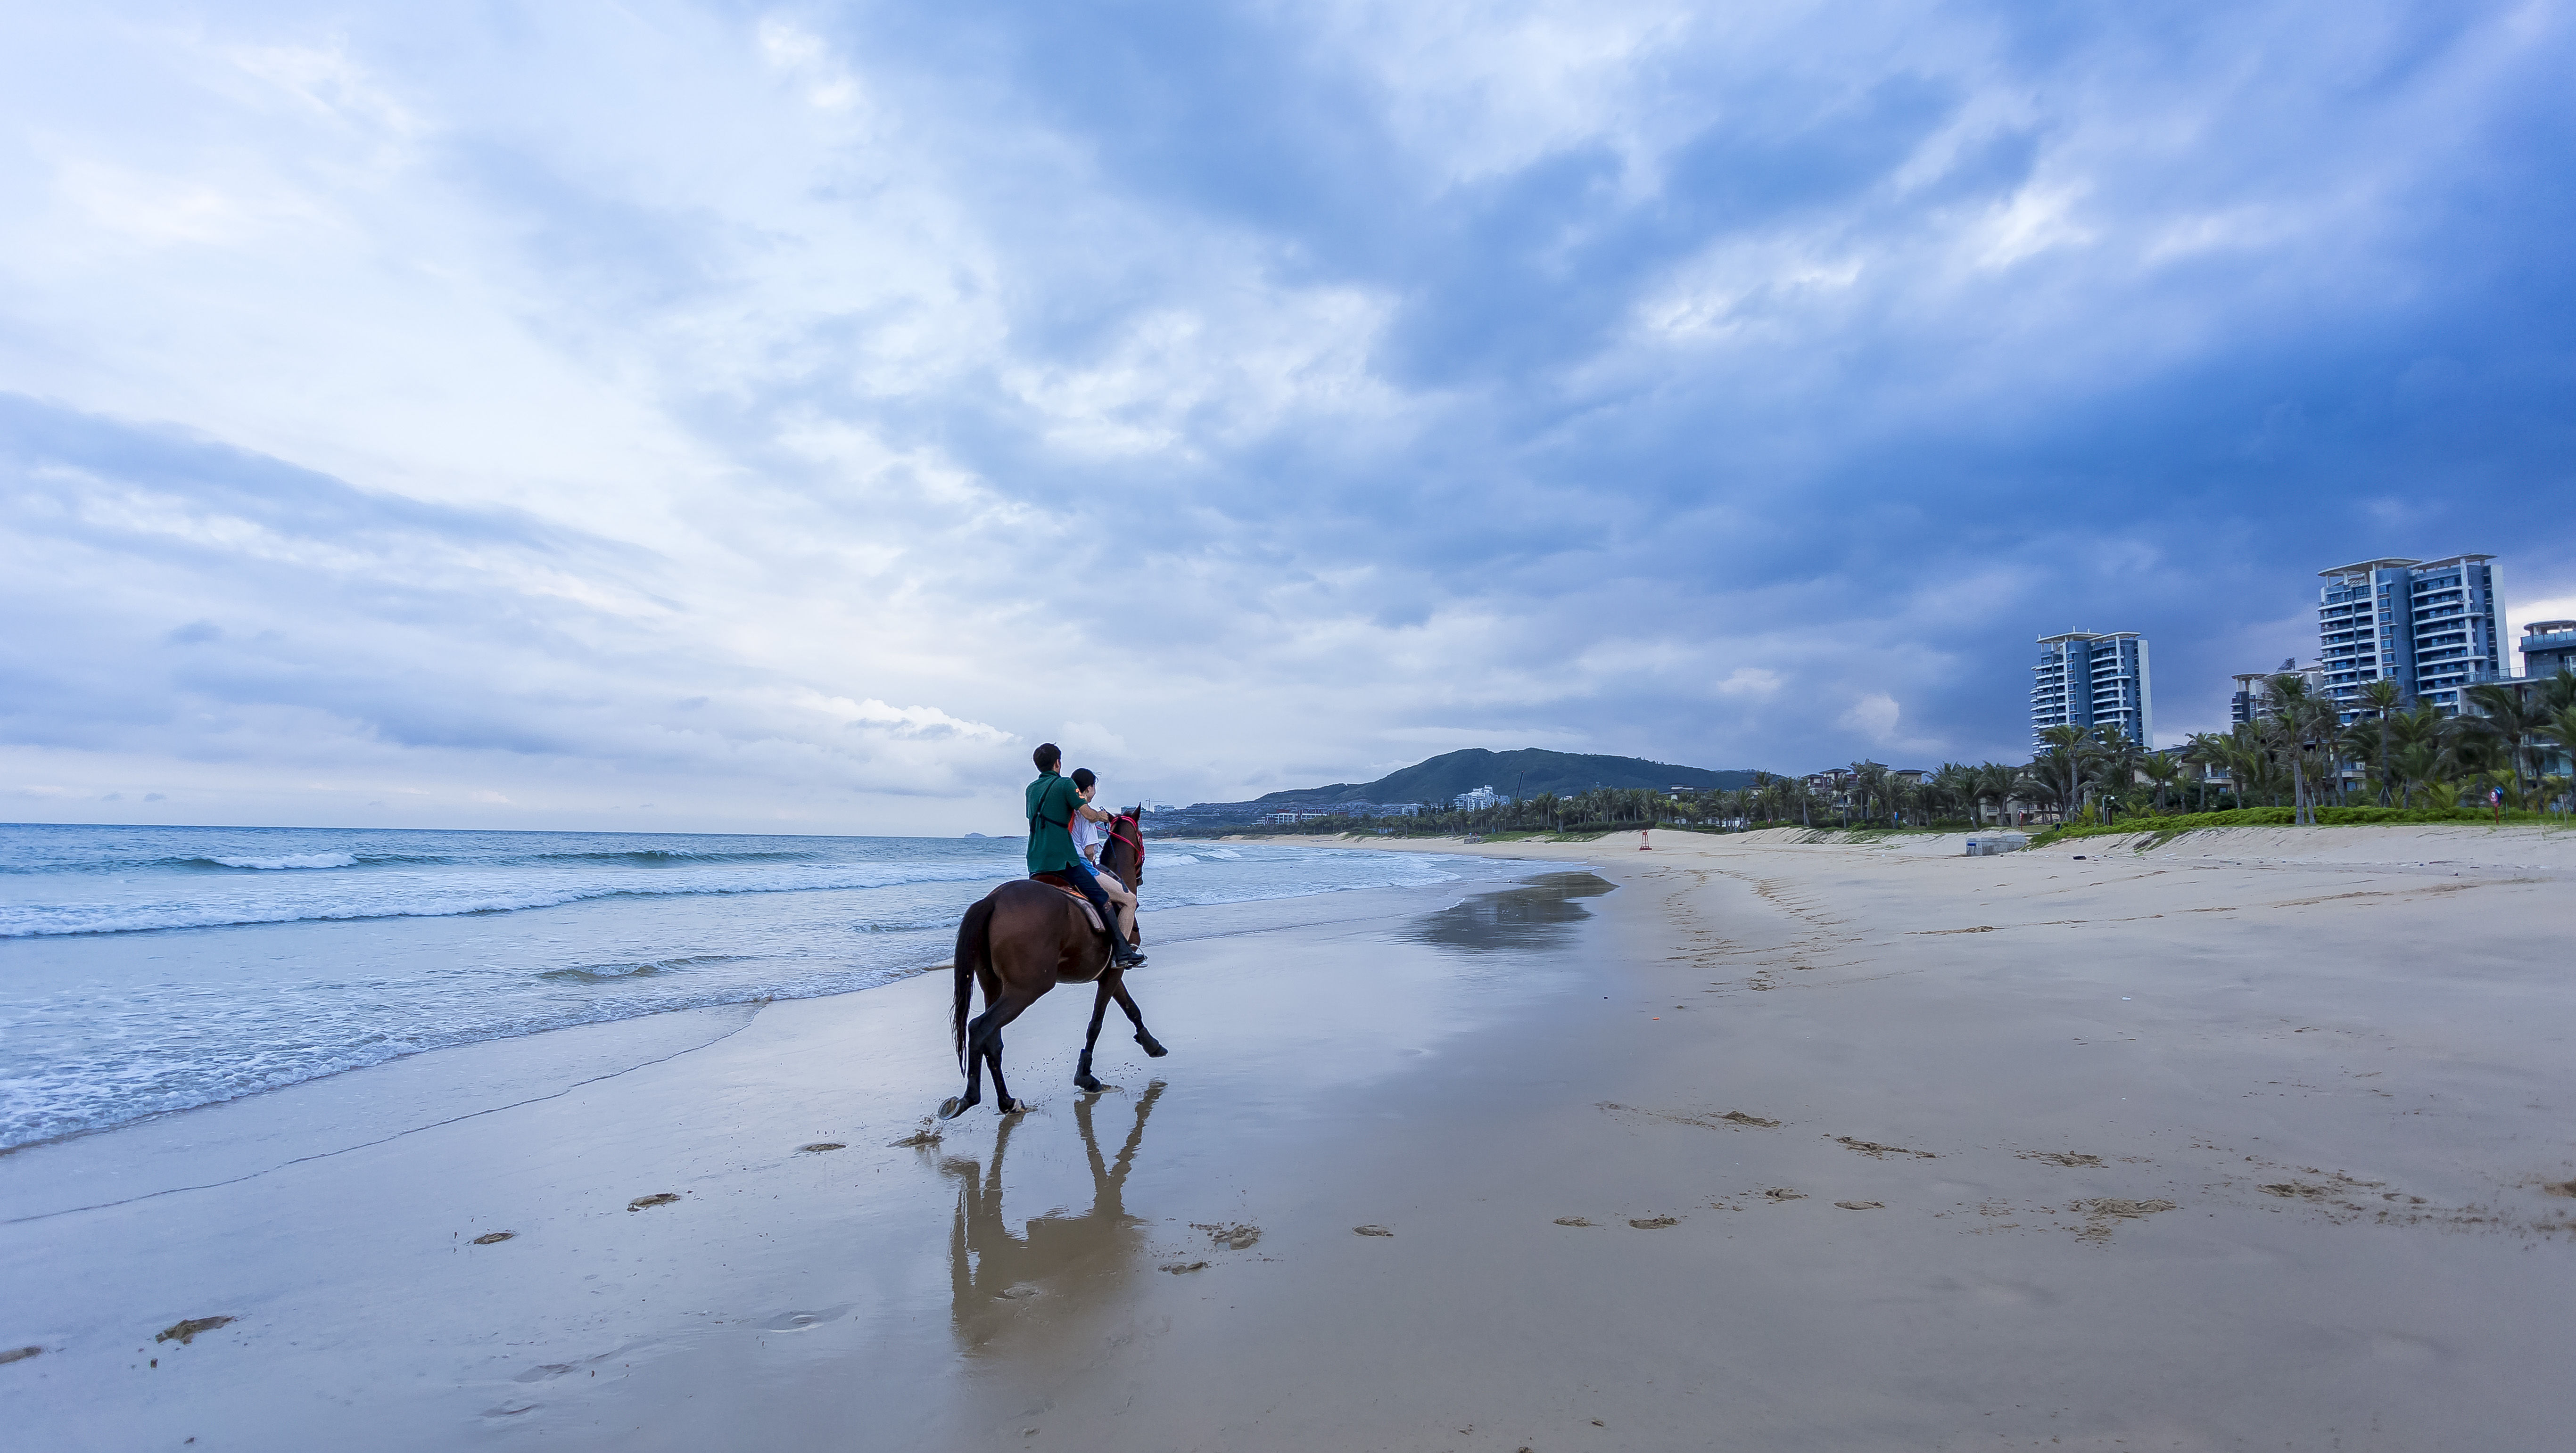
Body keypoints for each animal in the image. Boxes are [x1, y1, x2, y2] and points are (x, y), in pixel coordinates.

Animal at [942, 814, 1174, 1118]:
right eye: (1141, 837)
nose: (1140, 876)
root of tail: (992, 900)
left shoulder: (1110, 972)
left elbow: (1131, 1009)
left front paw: (1150, 1044)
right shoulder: (1115, 971)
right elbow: (1097, 1023)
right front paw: (1086, 1077)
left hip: (992, 984)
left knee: (993, 1041)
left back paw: (1007, 1102)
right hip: (1026, 989)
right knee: (980, 1028)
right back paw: (971, 1097)